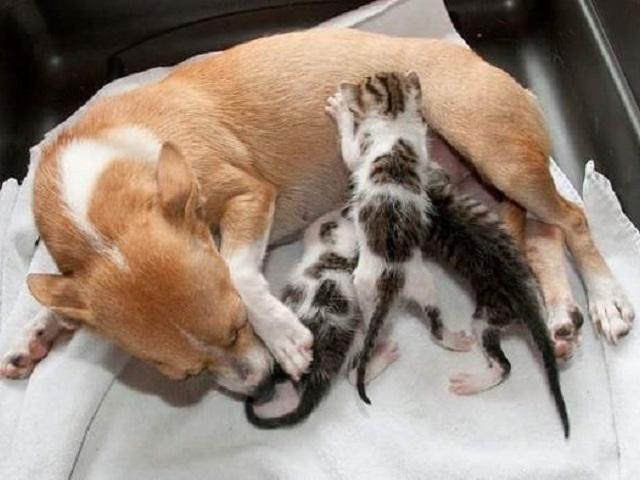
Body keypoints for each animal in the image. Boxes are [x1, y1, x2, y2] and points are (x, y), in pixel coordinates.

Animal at [0, 29, 633, 397]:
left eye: (238, 326)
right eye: (185, 375)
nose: (260, 386)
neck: (101, 184)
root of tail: (505, 75)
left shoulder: (247, 194)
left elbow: (237, 269)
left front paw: (284, 336)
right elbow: (56, 296)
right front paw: (32, 333)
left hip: (498, 154)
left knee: (572, 218)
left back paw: (604, 300)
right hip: (492, 187)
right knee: (541, 235)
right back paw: (559, 317)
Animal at [326, 71, 569, 437]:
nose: (345, 88)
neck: (395, 122)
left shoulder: (369, 154)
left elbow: (351, 153)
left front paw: (341, 108)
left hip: (470, 315)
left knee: (503, 365)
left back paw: (469, 381)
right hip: (435, 289)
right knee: (440, 330)